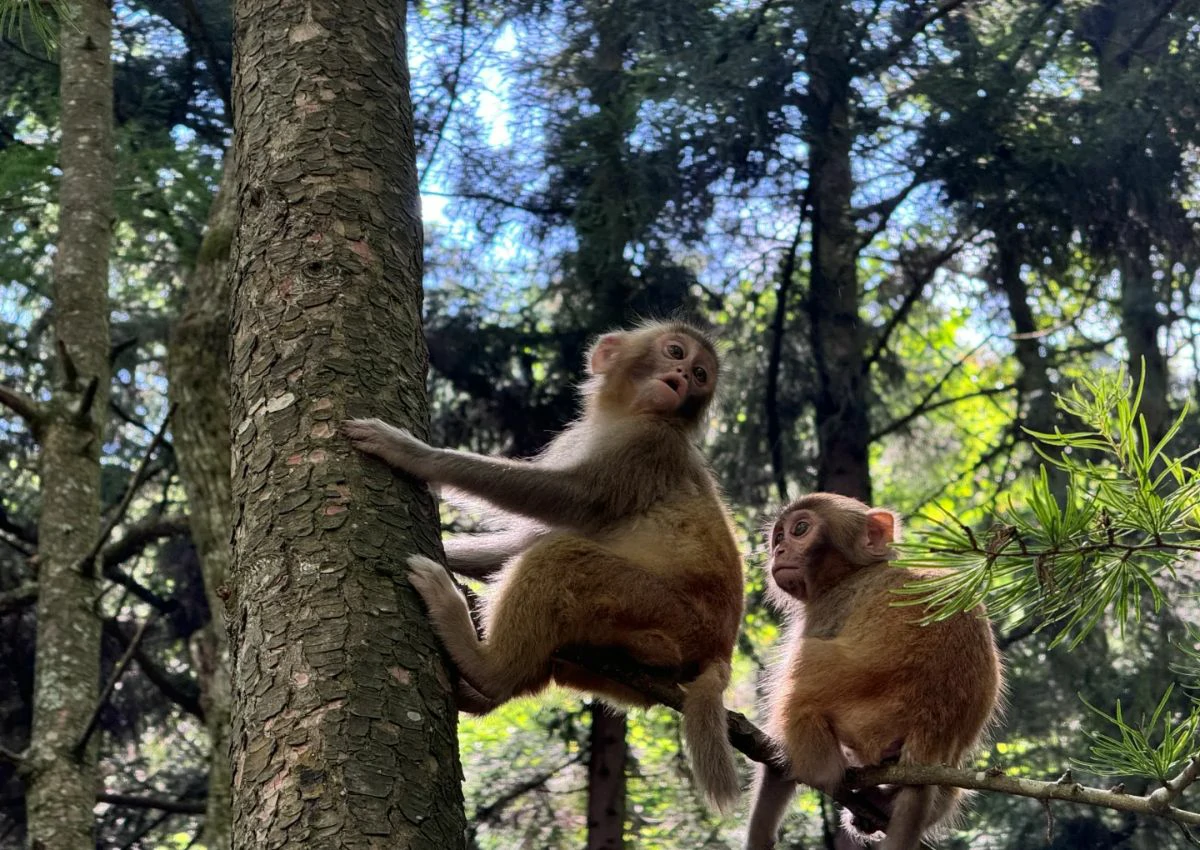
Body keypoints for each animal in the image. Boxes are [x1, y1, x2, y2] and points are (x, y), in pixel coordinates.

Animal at [340, 319, 748, 811]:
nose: (686, 375)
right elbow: (529, 535)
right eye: (676, 352)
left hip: (663, 609)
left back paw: (484, 662)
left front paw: (414, 453)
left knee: (561, 558)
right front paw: (455, 552)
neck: (622, 416)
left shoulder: (651, 444)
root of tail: (717, 650)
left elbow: (572, 500)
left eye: (701, 374)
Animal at [744, 492, 998, 850]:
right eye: (778, 537)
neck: (855, 571)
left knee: (804, 674)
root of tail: (930, 736)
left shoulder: (829, 608)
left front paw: (760, 833)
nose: (778, 551)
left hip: (867, 721)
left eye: (800, 529)